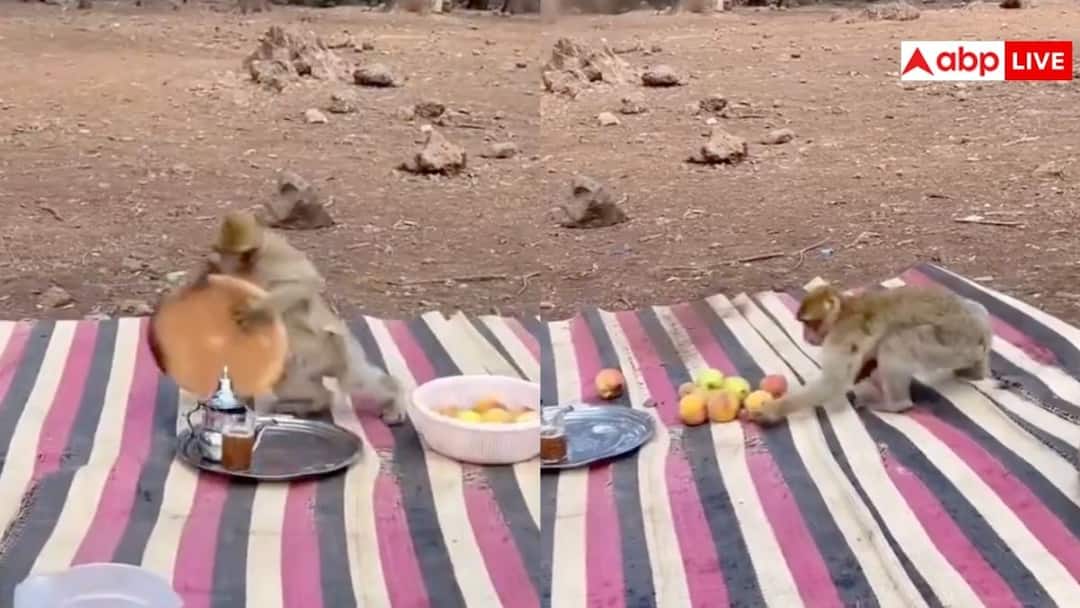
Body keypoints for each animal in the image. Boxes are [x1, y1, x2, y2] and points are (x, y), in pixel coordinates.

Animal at [194, 210, 406, 425]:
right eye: (217, 249)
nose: (213, 258)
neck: (249, 265)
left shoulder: (273, 253)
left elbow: (307, 282)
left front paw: (257, 311)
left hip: (335, 349)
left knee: (353, 379)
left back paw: (394, 395)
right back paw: (313, 402)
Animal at [747, 283, 993, 425]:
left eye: (809, 323)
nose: (805, 336)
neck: (843, 311)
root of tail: (980, 338)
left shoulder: (843, 334)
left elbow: (833, 382)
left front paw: (771, 411)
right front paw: (864, 371)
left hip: (951, 346)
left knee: (895, 343)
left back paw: (896, 404)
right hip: (970, 334)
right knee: (977, 306)